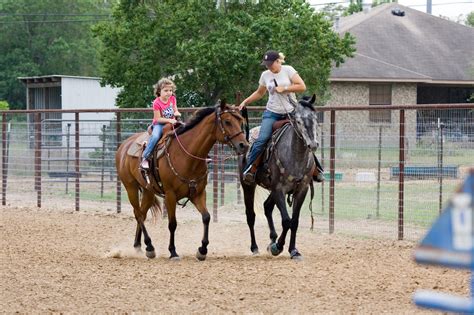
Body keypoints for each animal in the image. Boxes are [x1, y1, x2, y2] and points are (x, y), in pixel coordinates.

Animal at [115, 101, 248, 262]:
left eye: (240, 121)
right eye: (227, 121)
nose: (244, 145)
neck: (188, 156)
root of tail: (123, 146)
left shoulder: (198, 194)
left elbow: (206, 217)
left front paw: (202, 250)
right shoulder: (170, 195)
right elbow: (172, 223)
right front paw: (173, 252)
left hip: (148, 191)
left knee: (142, 213)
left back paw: (139, 247)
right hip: (131, 188)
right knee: (138, 214)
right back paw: (150, 247)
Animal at [239, 94, 320, 262]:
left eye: (315, 118)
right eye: (298, 121)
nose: (313, 144)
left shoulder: (301, 189)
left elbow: (294, 221)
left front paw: (293, 251)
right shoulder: (279, 189)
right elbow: (286, 221)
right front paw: (278, 247)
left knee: (267, 207)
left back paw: (272, 239)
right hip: (248, 185)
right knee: (250, 215)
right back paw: (255, 247)